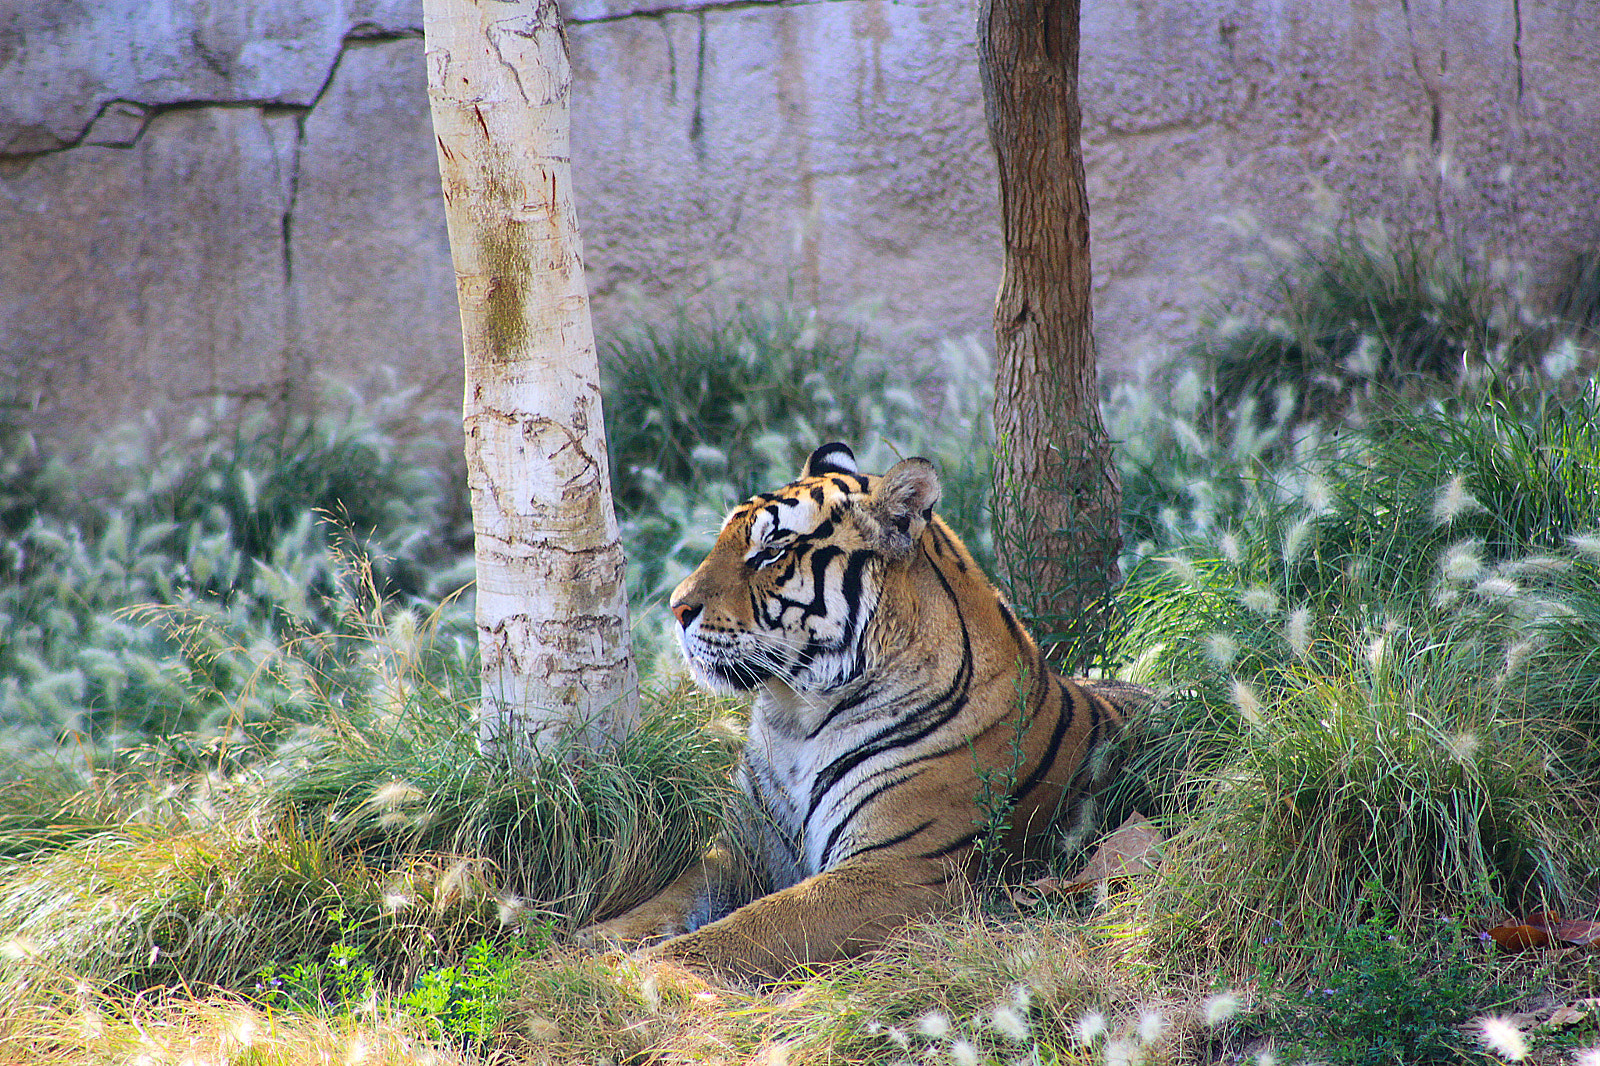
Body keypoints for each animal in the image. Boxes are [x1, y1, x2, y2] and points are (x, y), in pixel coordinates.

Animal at [579, 442, 1149, 977]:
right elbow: (666, 900)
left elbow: (744, 929)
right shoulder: (745, 848)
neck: (795, 718)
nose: (676, 608)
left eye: (771, 551)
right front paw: (586, 944)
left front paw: (635, 975)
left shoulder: (896, 870)